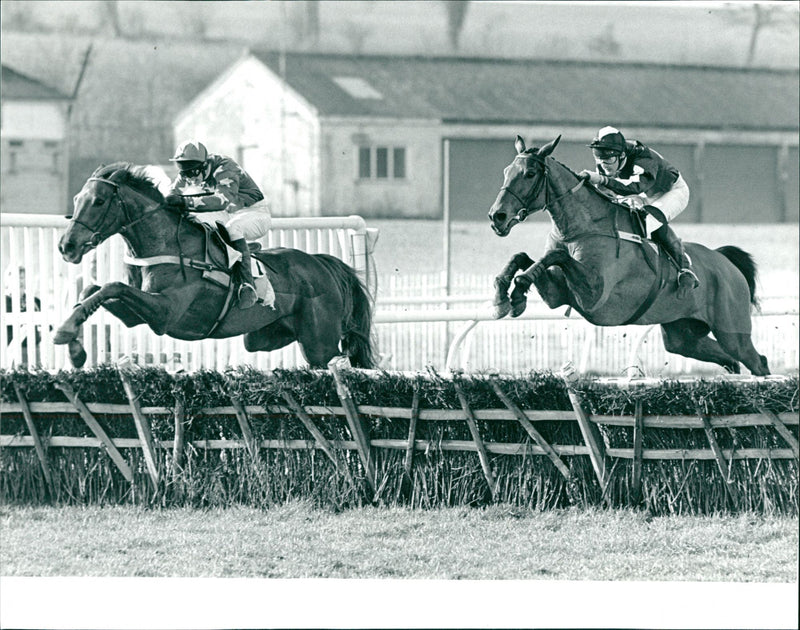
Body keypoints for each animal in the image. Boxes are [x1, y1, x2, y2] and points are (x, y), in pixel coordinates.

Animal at [56, 163, 376, 370]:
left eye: (98, 201)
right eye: (76, 199)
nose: (66, 246)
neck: (165, 245)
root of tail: (321, 263)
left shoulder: (165, 313)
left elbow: (111, 286)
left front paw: (63, 330)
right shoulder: (137, 315)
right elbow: (93, 289)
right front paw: (75, 348)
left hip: (318, 342)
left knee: (336, 357)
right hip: (264, 336)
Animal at [488, 135, 768, 376]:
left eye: (530, 174)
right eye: (505, 172)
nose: (496, 216)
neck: (582, 228)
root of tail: (726, 263)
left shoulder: (595, 296)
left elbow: (555, 255)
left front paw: (517, 290)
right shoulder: (558, 294)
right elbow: (524, 257)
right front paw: (503, 297)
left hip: (732, 331)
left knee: (757, 361)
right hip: (683, 334)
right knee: (729, 360)